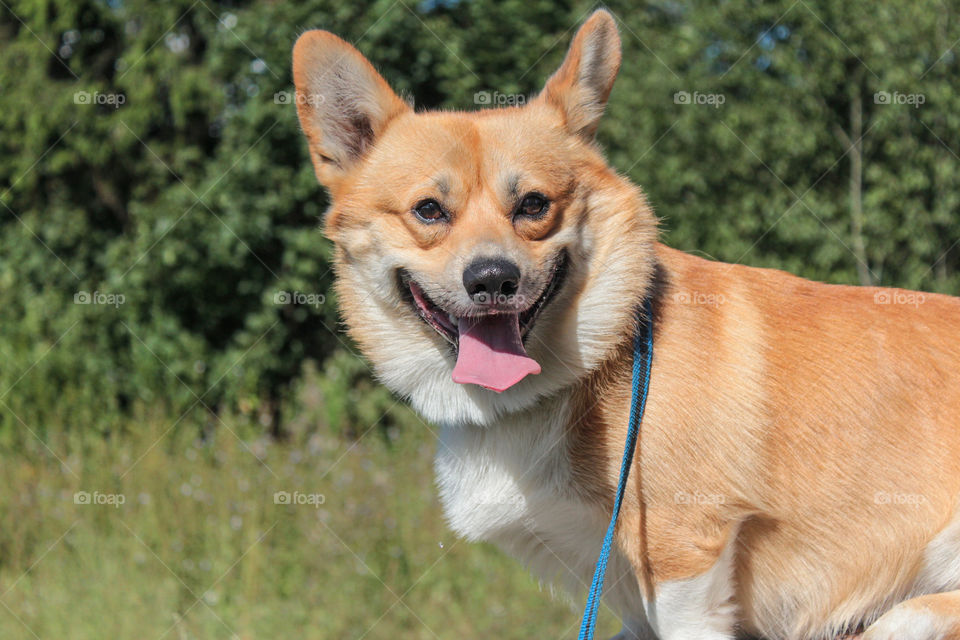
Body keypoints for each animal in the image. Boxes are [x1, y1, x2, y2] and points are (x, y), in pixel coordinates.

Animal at [290, 10, 960, 640]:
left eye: (533, 205)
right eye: (429, 210)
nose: (493, 280)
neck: (589, 363)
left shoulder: (685, 561)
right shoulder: (625, 598)